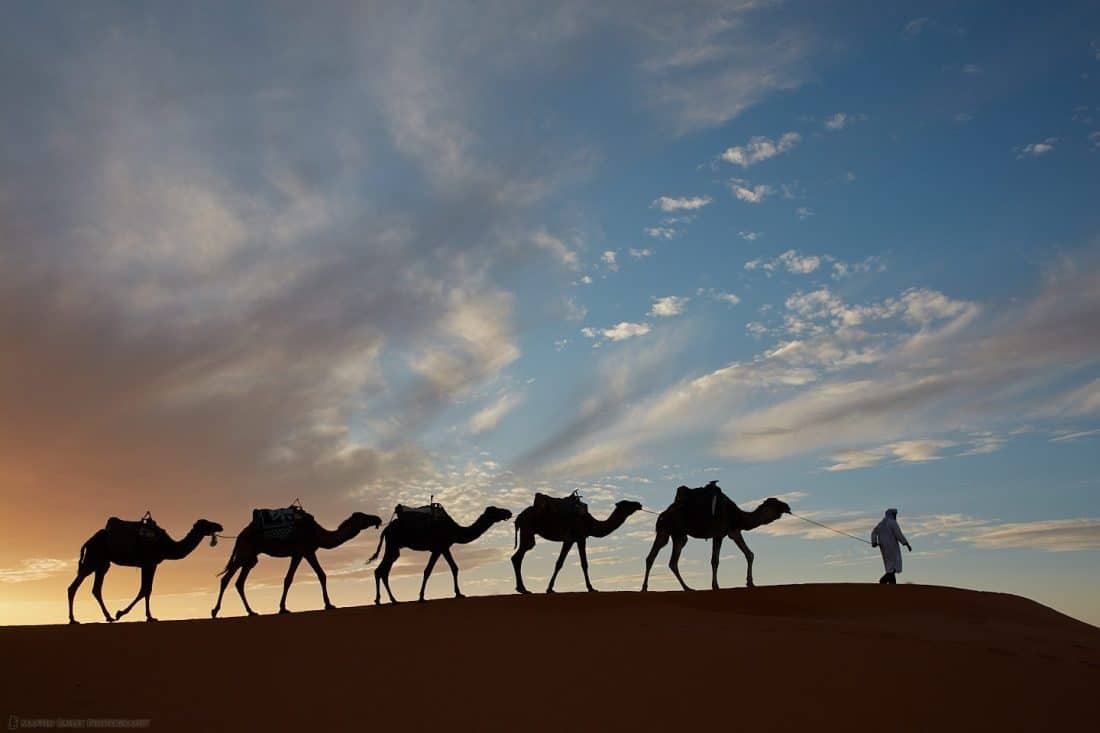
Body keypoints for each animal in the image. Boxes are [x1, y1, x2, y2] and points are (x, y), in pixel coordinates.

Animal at [67, 512, 223, 620]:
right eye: (206, 523)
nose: (220, 526)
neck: (167, 545)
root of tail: (88, 541)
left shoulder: (150, 565)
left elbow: (147, 590)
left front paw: (147, 616)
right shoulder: (148, 563)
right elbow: (145, 590)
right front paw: (123, 613)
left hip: (103, 564)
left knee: (96, 589)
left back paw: (108, 617)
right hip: (92, 559)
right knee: (73, 586)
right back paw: (73, 620)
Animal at [210, 508, 382, 616]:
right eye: (363, 516)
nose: (377, 518)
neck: (318, 533)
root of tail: (240, 535)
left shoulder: (298, 554)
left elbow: (289, 579)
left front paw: (283, 608)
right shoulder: (306, 551)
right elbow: (321, 575)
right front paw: (328, 605)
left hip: (251, 557)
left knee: (239, 582)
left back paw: (251, 612)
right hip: (245, 552)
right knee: (226, 578)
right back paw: (215, 611)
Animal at [363, 501, 512, 603]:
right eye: (495, 510)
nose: (508, 512)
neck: (455, 530)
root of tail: (385, 529)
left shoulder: (444, 547)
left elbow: (454, 567)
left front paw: (459, 593)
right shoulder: (440, 547)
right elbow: (428, 571)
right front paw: (421, 597)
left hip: (394, 548)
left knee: (382, 571)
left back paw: (387, 600)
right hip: (393, 545)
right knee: (381, 570)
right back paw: (386, 599)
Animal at [508, 493, 642, 589]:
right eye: (626, 503)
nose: (638, 504)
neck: (591, 523)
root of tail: (519, 517)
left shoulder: (570, 540)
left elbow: (559, 563)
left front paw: (550, 588)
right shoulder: (580, 537)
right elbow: (584, 563)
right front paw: (591, 588)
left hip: (527, 532)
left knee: (518, 556)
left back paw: (522, 588)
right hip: (527, 530)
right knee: (518, 556)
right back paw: (522, 589)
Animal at [642, 482, 787, 589]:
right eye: (777, 504)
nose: (788, 507)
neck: (738, 516)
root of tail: (663, 515)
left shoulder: (734, 531)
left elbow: (749, 554)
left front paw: (750, 582)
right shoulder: (719, 534)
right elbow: (715, 560)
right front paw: (715, 586)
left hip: (672, 534)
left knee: (657, 559)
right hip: (674, 533)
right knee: (666, 559)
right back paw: (685, 587)